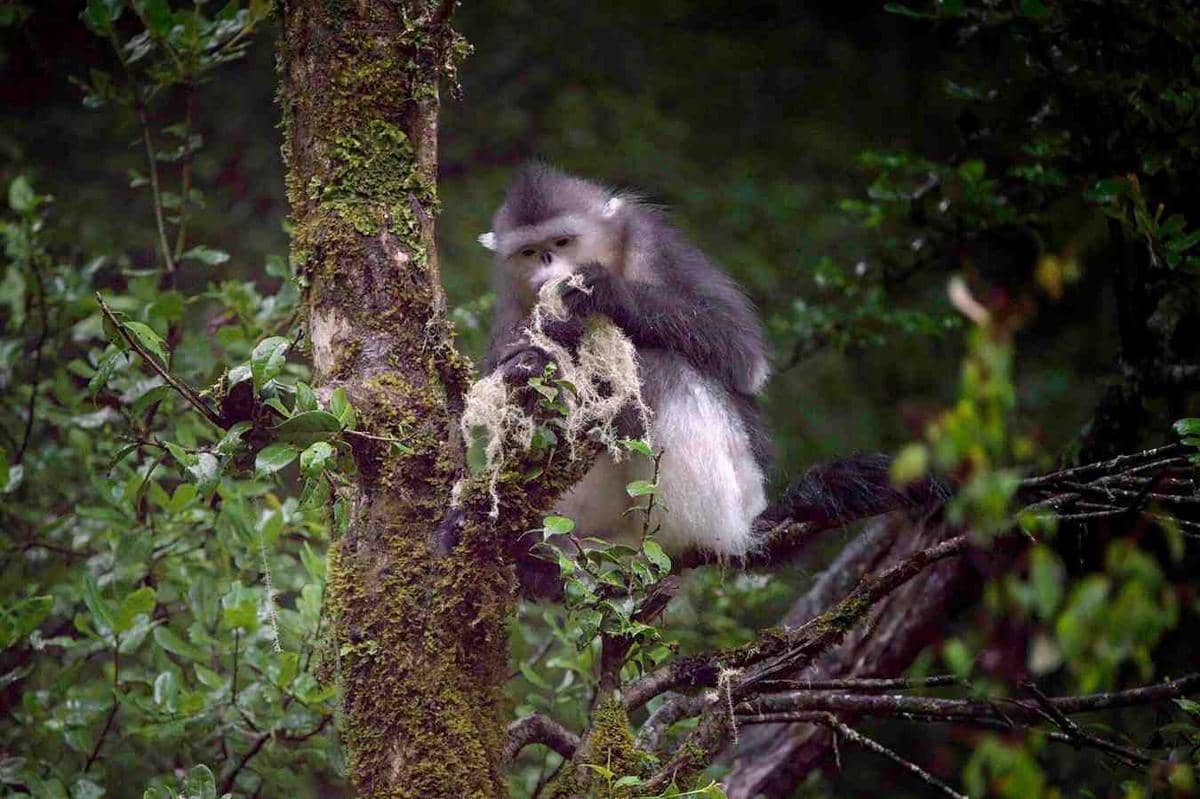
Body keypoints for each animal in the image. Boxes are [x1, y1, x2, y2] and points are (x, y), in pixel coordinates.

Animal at [478, 164, 773, 560]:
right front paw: (530, 364)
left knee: (662, 367)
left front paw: (609, 293)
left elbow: (742, 354)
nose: (547, 265)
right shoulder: (511, 302)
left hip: (742, 492)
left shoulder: (654, 242)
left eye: (562, 242)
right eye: (529, 251)